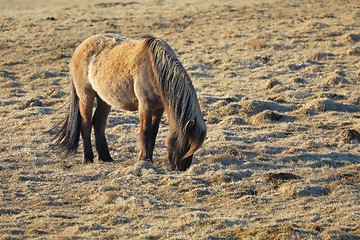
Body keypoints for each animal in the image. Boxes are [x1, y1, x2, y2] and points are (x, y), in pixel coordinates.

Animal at [53, 33, 205, 171]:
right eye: (187, 143)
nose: (182, 167)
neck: (155, 69)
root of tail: (80, 48)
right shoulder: (145, 106)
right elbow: (145, 132)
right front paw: (143, 160)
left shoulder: (158, 108)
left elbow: (153, 133)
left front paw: (149, 159)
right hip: (86, 96)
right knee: (86, 125)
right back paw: (88, 159)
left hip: (104, 99)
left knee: (98, 123)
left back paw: (106, 157)